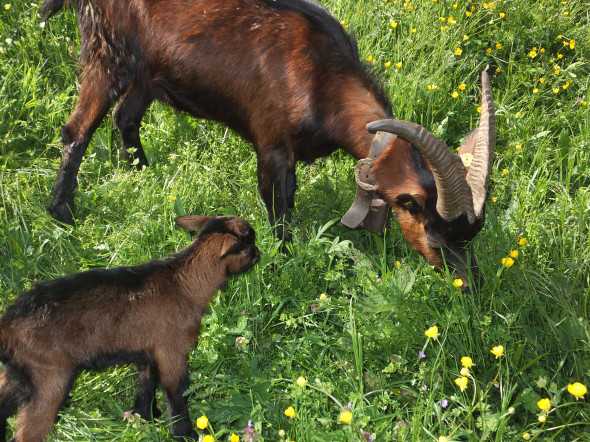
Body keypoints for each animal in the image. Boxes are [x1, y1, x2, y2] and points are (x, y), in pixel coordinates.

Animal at [0, 216, 260, 440]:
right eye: (249, 245)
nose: (259, 254)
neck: (184, 283)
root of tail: (8, 323)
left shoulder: (148, 353)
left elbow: (145, 387)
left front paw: (143, 419)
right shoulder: (171, 352)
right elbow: (176, 394)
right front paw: (185, 434)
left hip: (19, 377)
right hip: (49, 380)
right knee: (27, 433)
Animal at [41, 0, 494, 284]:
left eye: (472, 234)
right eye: (429, 222)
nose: (471, 284)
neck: (321, 77)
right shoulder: (272, 145)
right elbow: (279, 208)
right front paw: (283, 264)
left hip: (148, 71)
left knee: (126, 117)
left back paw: (142, 170)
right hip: (107, 54)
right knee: (77, 129)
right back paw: (62, 211)